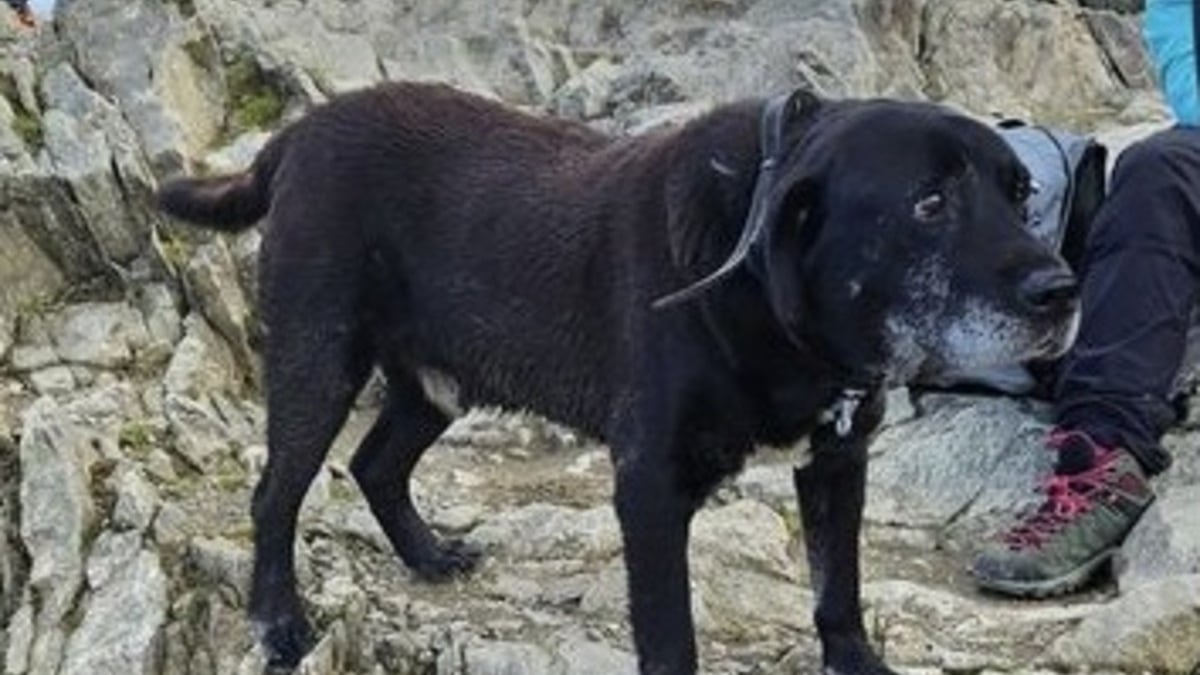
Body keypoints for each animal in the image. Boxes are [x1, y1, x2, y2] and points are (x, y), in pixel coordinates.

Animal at [154, 84, 1084, 672]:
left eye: (1020, 192)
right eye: (930, 203)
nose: (1063, 291)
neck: (754, 281)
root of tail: (297, 135)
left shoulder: (836, 462)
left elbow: (839, 591)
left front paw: (857, 663)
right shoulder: (650, 485)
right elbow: (671, 637)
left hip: (437, 383)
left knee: (374, 462)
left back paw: (427, 554)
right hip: (320, 362)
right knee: (275, 494)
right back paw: (278, 621)